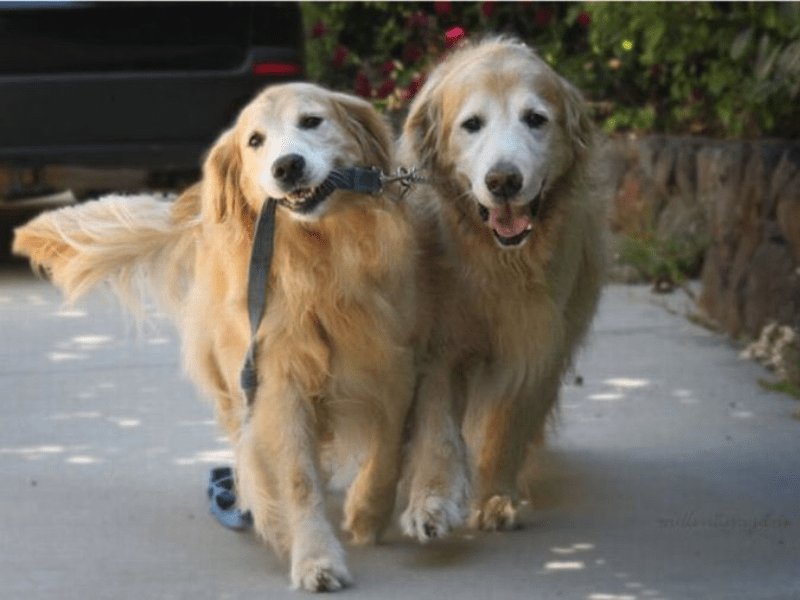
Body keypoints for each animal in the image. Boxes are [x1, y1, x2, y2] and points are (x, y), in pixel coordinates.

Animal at [12, 81, 428, 592]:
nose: (286, 166)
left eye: (312, 121)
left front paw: (368, 512)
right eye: (255, 141)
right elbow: (296, 477)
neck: (317, 263)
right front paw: (314, 556)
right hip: (231, 373)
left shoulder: (395, 360)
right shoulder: (277, 382)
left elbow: (388, 445)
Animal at [400, 39, 608, 540]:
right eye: (472, 124)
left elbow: (507, 423)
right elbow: (437, 431)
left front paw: (494, 496)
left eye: (535, 118)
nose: (504, 181)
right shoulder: (440, 347)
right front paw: (430, 501)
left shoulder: (537, 345)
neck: (497, 259)